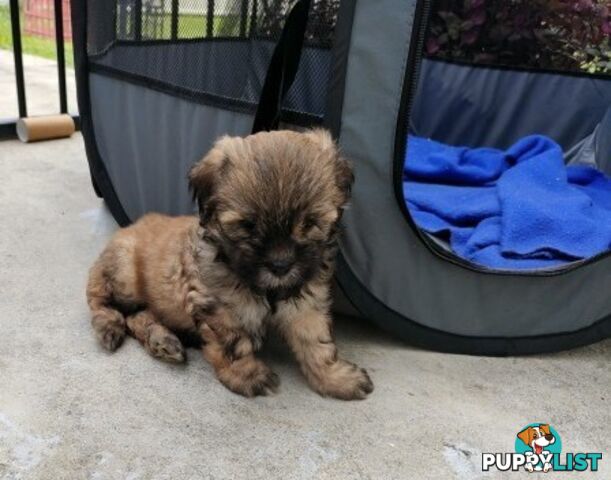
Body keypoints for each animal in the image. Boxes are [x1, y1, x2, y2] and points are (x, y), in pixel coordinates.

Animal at [86, 129, 372, 400]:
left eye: (310, 223)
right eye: (248, 225)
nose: (280, 265)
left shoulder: (305, 303)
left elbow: (316, 343)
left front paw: (335, 377)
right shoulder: (221, 309)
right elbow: (233, 344)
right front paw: (246, 375)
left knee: (138, 316)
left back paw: (163, 341)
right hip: (124, 272)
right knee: (101, 301)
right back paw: (111, 327)